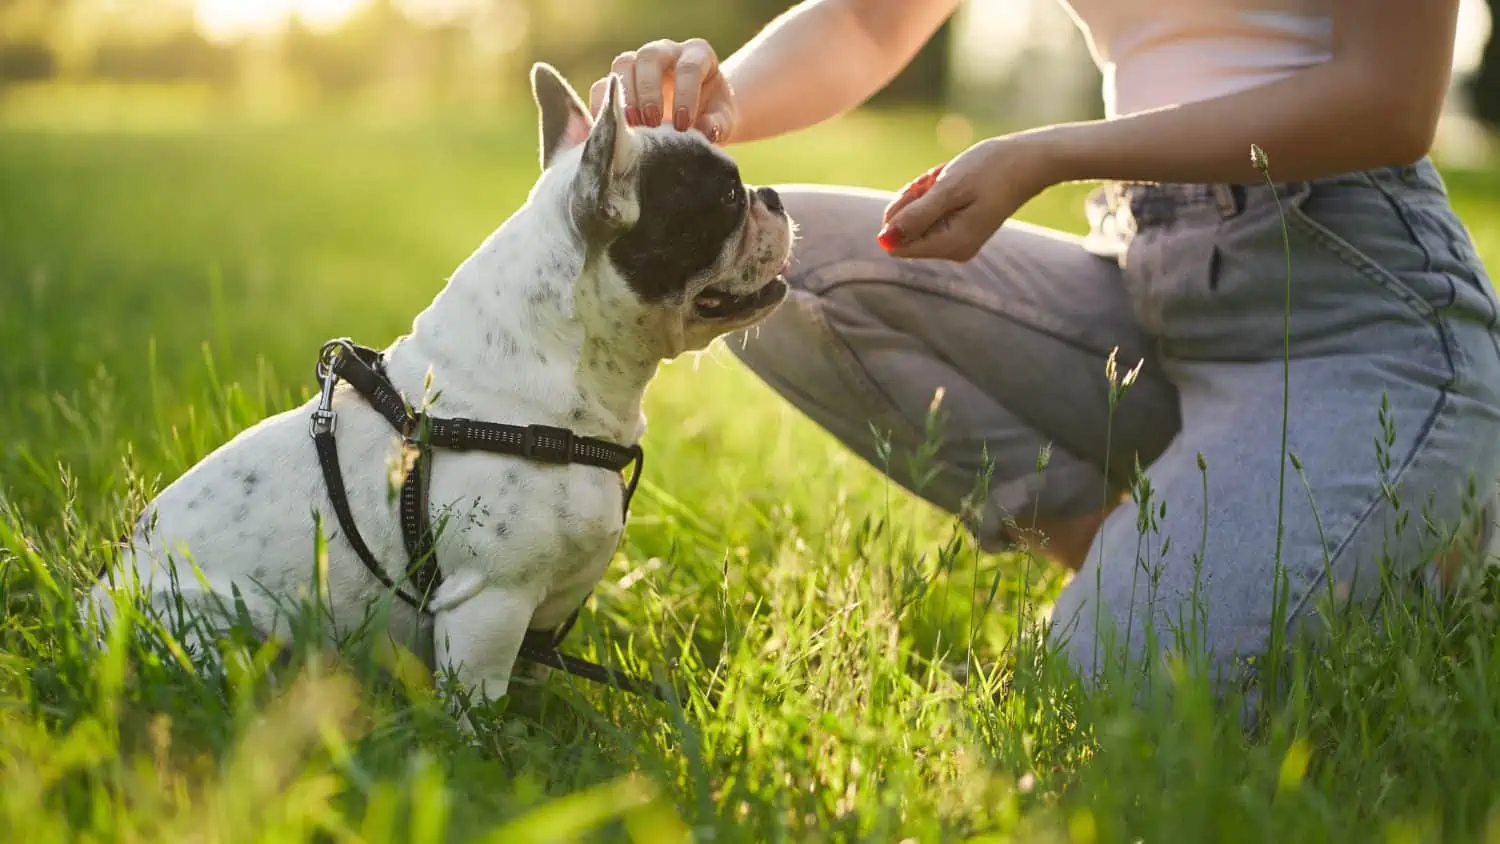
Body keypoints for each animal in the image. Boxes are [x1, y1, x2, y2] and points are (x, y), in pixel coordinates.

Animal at [85, 64, 798, 713]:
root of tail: (89, 614)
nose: (771, 195)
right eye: (726, 199)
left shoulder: (538, 620)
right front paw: (491, 758)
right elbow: (478, 709)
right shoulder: (491, 604)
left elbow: (529, 689)